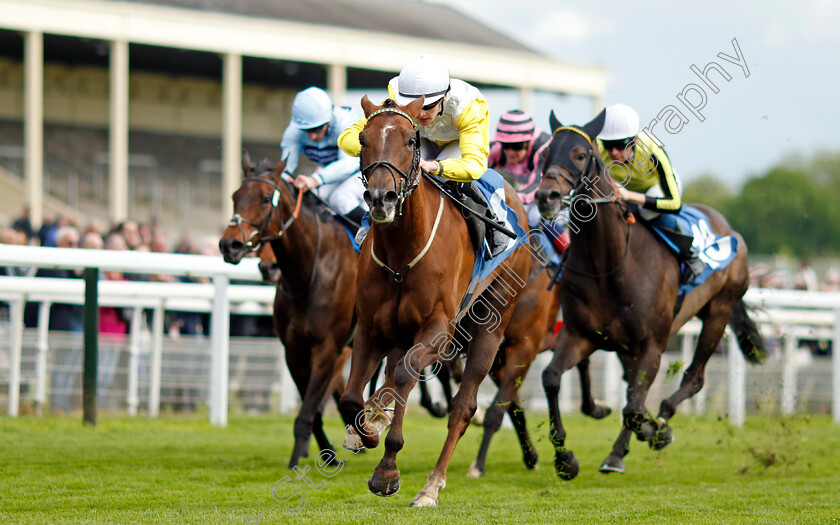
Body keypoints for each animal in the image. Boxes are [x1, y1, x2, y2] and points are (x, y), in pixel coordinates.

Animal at [340, 96, 532, 506]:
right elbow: (350, 397)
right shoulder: (371, 328)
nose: (381, 198)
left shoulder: (437, 328)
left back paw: (431, 486)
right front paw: (366, 431)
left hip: (492, 325)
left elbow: (406, 377)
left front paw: (387, 470)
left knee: (462, 406)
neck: (402, 255)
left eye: (412, 140)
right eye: (363, 139)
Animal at [536, 111, 764, 478]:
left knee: (693, 379)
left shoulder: (653, 343)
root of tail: (730, 230)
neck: (609, 266)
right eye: (545, 154)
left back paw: (647, 432)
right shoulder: (580, 334)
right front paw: (565, 459)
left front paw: (654, 430)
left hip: (719, 312)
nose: (547, 196)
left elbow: (634, 407)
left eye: (581, 154)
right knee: (633, 388)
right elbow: (552, 378)